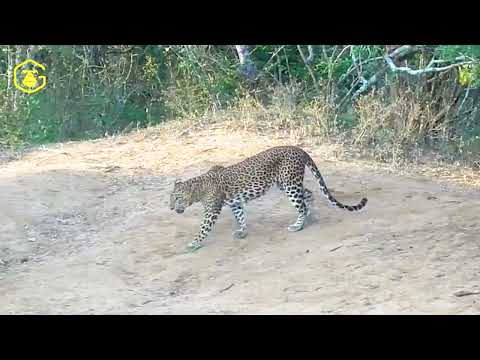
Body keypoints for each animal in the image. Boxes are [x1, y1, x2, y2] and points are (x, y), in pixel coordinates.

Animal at [169, 145, 368, 252]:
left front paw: (193, 244)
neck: (198, 188)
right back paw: (310, 216)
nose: (171, 208)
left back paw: (298, 225)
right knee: (309, 194)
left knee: (301, 204)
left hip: (290, 184)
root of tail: (299, 148)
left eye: (177, 198)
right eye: (171, 199)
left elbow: (203, 229)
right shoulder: (235, 203)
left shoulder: (212, 211)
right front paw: (242, 232)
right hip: (286, 182)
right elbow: (240, 216)